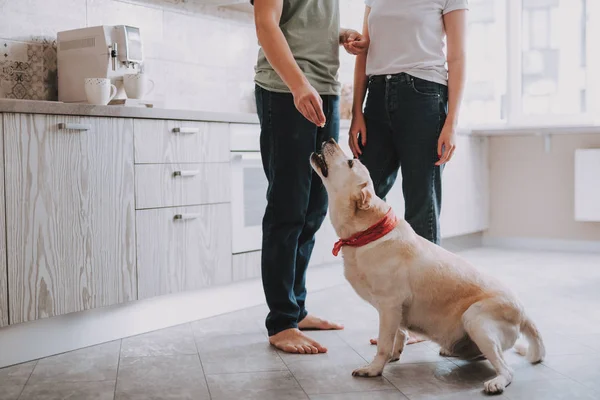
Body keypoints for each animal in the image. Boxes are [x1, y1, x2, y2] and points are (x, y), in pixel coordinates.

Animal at [312, 140, 548, 394]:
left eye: (350, 162)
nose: (329, 140)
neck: (368, 233)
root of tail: (523, 313)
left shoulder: (389, 305)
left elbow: (384, 343)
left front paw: (374, 368)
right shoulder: (395, 311)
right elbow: (399, 335)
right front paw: (394, 354)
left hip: (475, 319)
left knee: (506, 369)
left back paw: (496, 382)